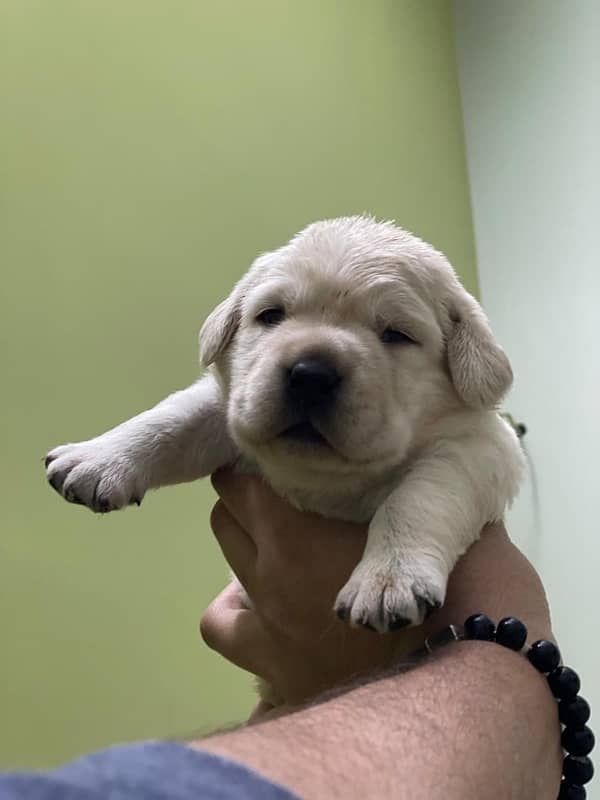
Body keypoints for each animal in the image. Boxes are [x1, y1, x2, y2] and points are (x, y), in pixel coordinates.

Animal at [44, 217, 524, 632]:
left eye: (397, 334)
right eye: (271, 315)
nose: (311, 374)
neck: (323, 480)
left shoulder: (481, 446)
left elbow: (420, 494)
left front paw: (388, 579)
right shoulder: (232, 404)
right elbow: (173, 418)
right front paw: (99, 458)